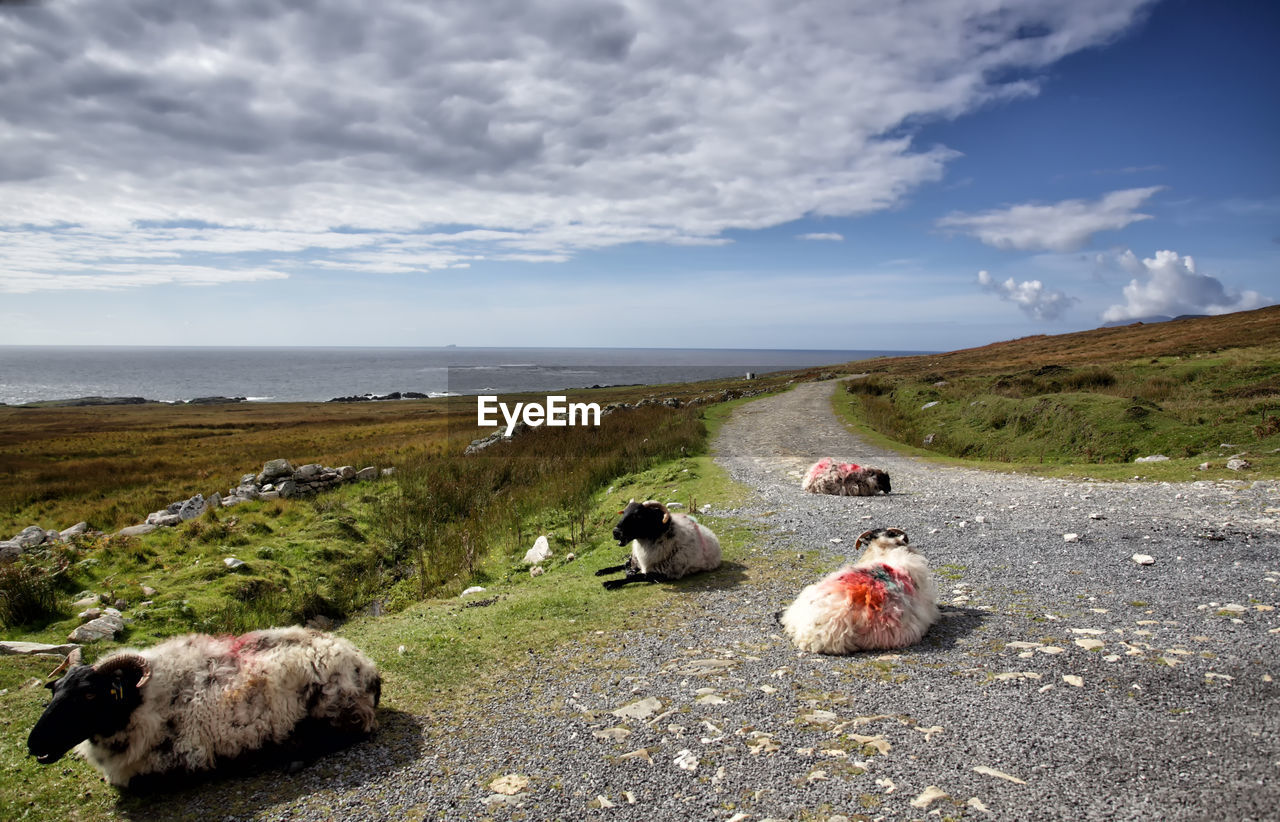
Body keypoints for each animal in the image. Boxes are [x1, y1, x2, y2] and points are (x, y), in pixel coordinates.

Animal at [27, 624, 378, 783]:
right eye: (54, 690)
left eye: (89, 694)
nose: (34, 745)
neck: (143, 703)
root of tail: (365, 663)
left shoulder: (182, 758)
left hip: (334, 706)